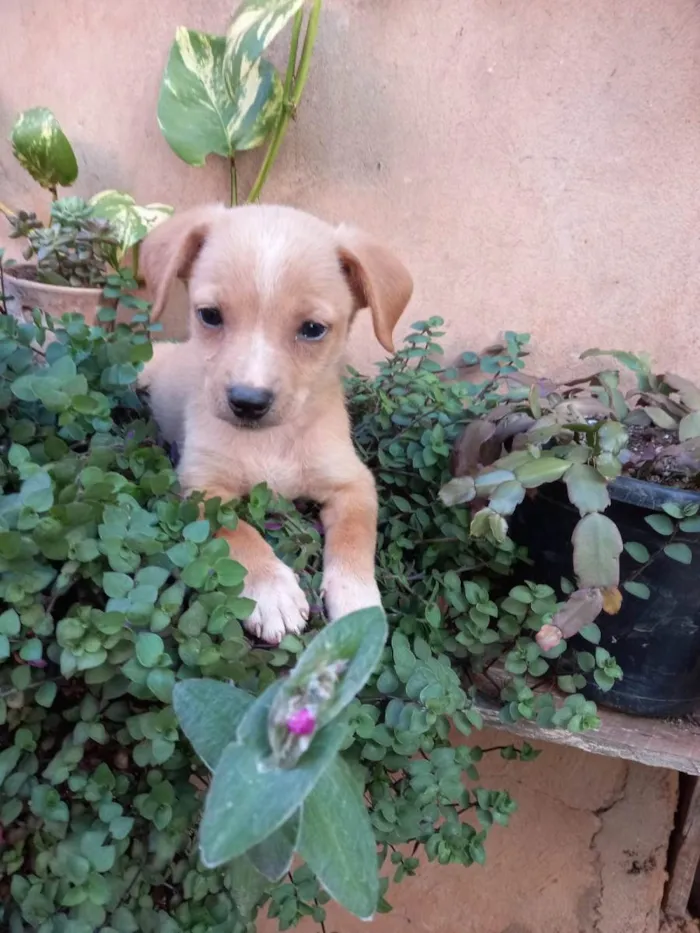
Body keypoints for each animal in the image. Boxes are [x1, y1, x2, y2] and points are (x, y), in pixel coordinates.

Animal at [139, 203, 412, 640]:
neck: (271, 440)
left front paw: (357, 600)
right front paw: (270, 590)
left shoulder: (353, 482)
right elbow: (237, 532)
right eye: (209, 315)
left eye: (313, 329)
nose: (247, 402)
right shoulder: (201, 486)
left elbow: (356, 537)